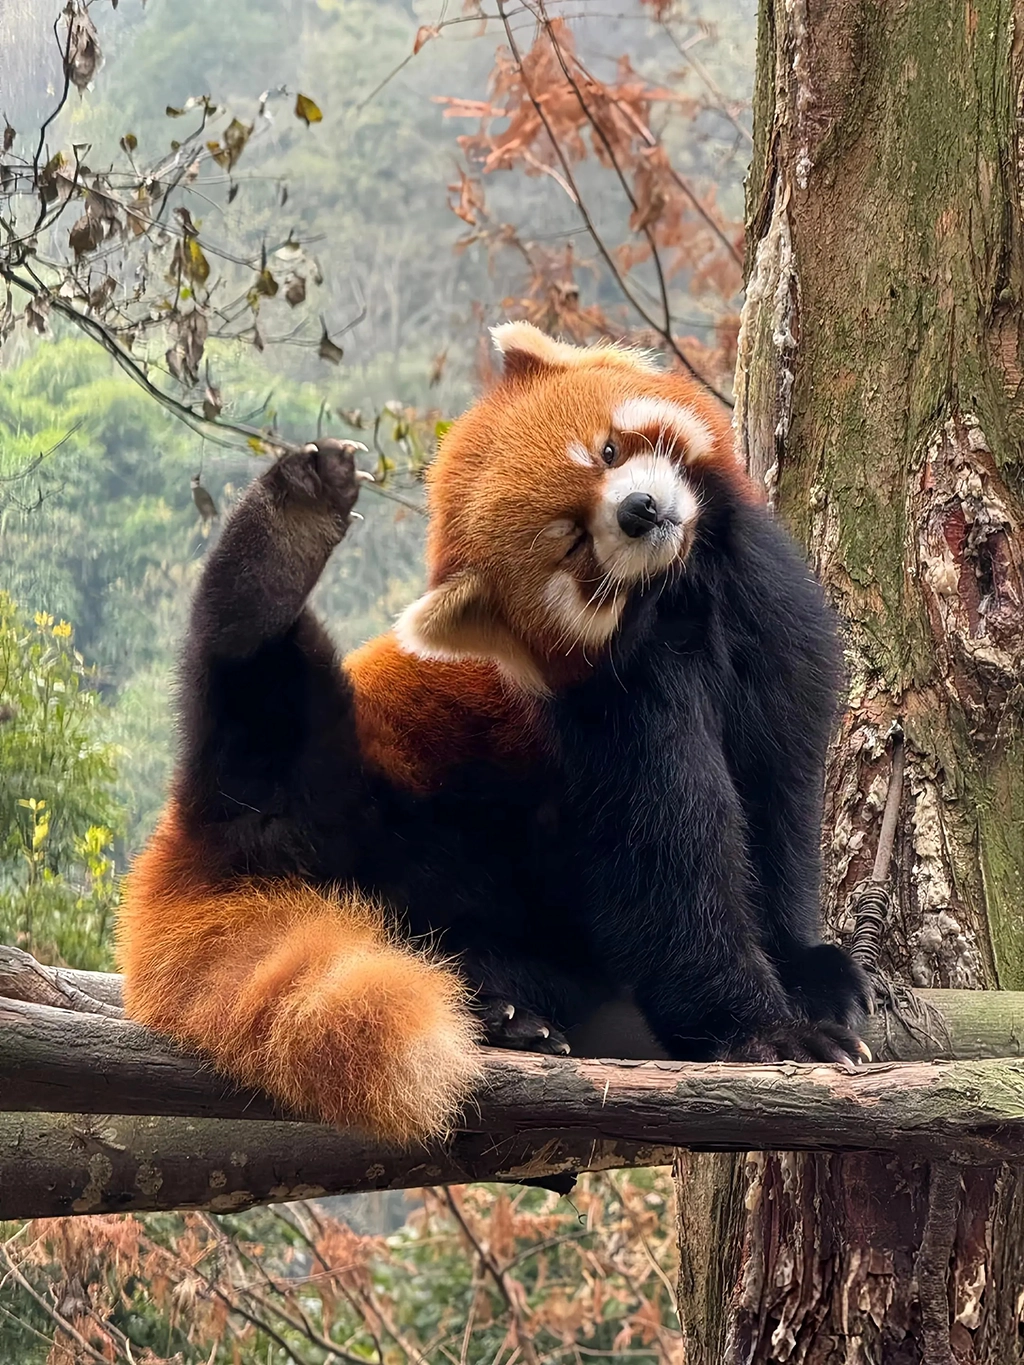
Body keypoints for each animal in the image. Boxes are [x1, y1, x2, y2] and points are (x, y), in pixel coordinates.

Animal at [117, 322, 869, 1144]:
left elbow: (778, 803)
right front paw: (763, 1031)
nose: (641, 510)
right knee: (257, 711)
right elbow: (669, 866)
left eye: (609, 450)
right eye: (572, 542)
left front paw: (808, 966)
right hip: (339, 782)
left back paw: (510, 1007)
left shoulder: (774, 633)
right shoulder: (616, 713)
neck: (681, 596)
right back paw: (273, 555)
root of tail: (179, 865)